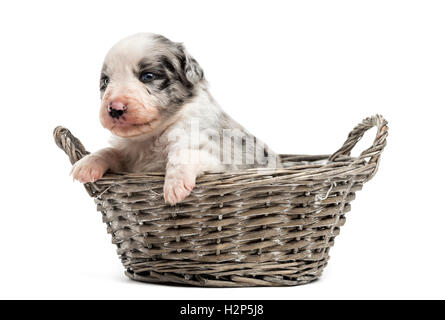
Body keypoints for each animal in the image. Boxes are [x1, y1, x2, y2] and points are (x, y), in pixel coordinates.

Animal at [71, 31, 280, 202]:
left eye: (148, 76)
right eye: (106, 81)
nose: (115, 109)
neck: (151, 137)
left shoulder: (219, 162)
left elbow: (184, 154)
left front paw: (175, 186)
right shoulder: (129, 162)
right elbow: (110, 151)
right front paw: (86, 164)